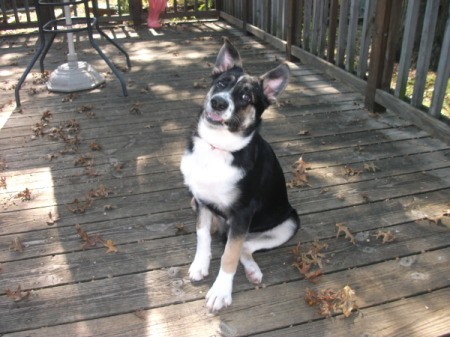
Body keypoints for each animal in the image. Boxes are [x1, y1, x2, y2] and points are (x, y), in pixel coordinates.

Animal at [179, 37, 298, 312]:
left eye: (245, 96)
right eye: (222, 83)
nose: (218, 102)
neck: (218, 147)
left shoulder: (243, 212)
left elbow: (230, 254)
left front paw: (220, 291)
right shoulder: (201, 201)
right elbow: (202, 236)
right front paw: (200, 264)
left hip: (289, 223)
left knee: (244, 246)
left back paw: (252, 270)